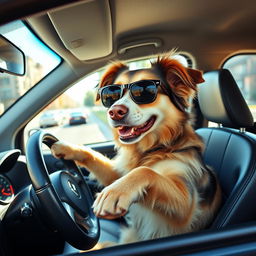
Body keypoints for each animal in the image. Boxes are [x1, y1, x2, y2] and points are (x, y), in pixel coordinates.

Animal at [51, 53, 221, 245]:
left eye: (146, 91)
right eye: (111, 93)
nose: (114, 111)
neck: (155, 148)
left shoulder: (186, 207)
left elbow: (145, 171)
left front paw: (113, 192)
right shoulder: (117, 173)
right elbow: (95, 156)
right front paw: (66, 146)